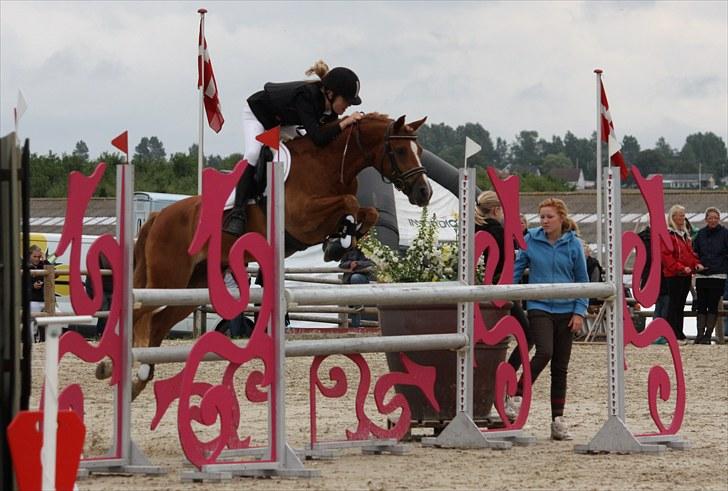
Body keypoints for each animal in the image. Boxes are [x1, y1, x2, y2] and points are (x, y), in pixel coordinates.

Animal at [96, 113, 430, 398]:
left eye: (420, 150)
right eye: (400, 150)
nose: (423, 192)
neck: (330, 164)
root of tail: (158, 218)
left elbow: (366, 211)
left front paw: (342, 239)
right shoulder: (302, 219)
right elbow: (349, 201)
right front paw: (341, 238)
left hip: (192, 287)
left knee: (156, 325)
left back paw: (136, 380)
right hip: (168, 278)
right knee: (138, 312)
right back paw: (111, 367)